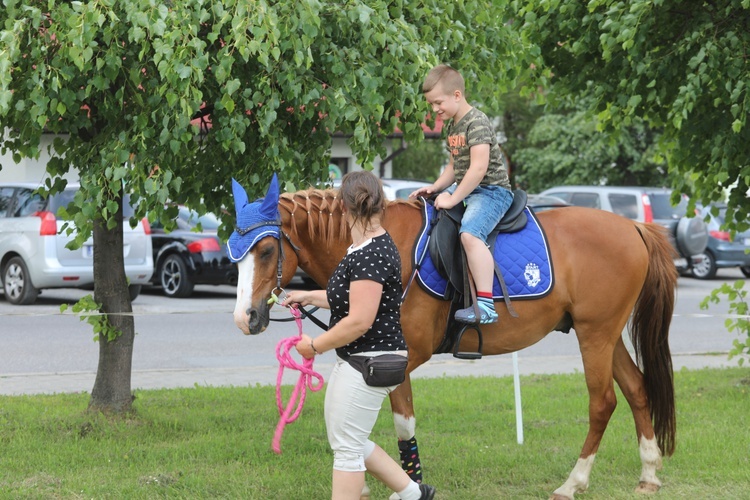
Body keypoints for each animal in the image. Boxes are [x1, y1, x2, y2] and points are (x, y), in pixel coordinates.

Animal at [228, 174, 676, 498]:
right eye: (235, 254)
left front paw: (411, 483)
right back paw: (649, 474)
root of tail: (635, 227)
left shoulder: (401, 358)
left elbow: (402, 426)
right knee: (637, 389)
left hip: (594, 334)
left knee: (603, 402)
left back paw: (573, 483)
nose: (244, 318)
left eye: (266, 251)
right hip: (606, 334)